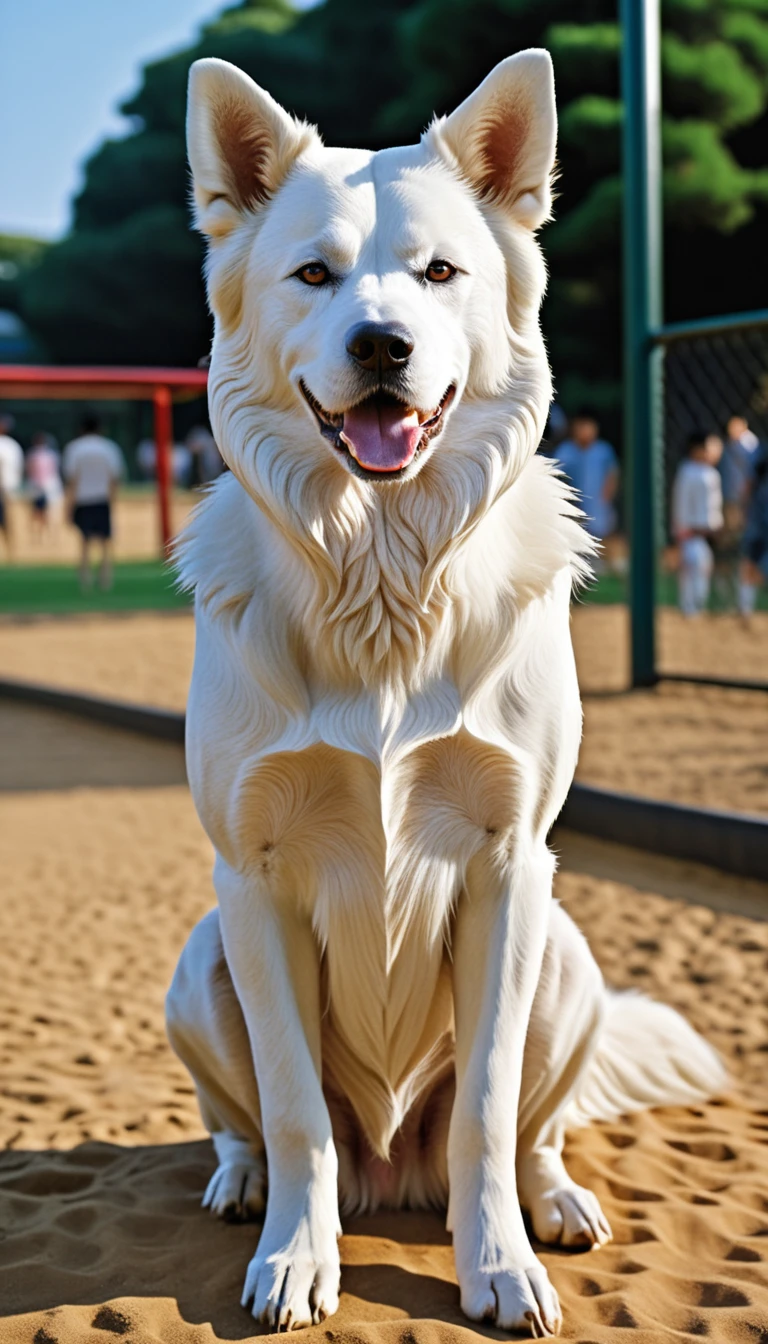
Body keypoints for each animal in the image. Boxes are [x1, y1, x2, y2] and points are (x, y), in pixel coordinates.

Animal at [168, 49, 726, 1333]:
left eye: (439, 272)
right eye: (313, 274)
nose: (382, 345)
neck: (379, 572)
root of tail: (393, 1171)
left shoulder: (509, 864)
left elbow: (484, 1109)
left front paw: (500, 1265)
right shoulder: (250, 880)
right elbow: (293, 1111)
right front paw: (295, 1257)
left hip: (567, 957)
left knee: (531, 1130)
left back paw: (554, 1204)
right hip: (198, 966)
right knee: (252, 1126)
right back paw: (243, 1187)